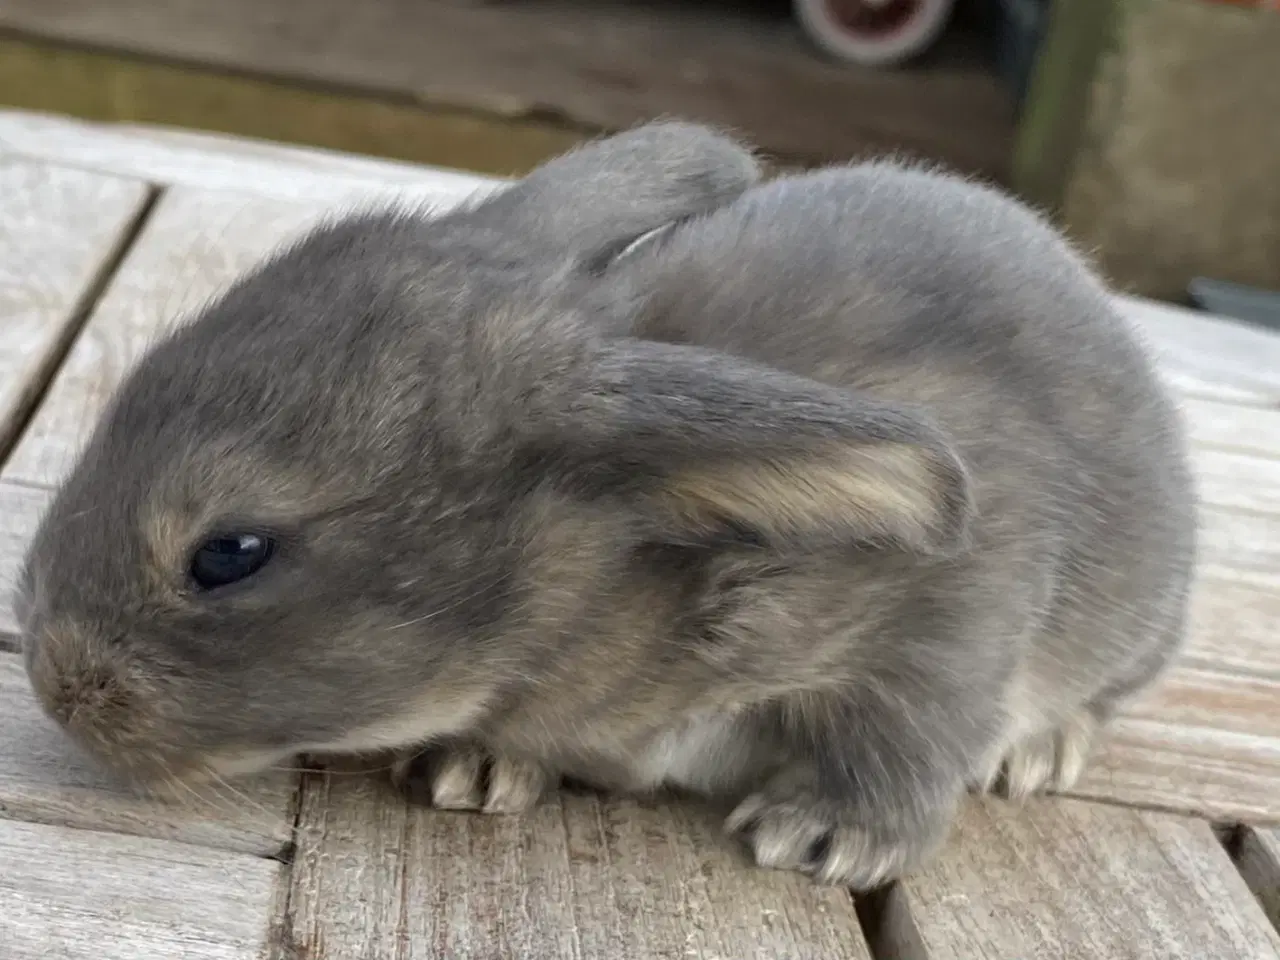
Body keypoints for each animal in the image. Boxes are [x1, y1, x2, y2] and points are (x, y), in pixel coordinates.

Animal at [15, 122, 1192, 896]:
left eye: (230, 552)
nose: (57, 681)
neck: (621, 557)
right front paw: (481, 765)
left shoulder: (949, 615)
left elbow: (908, 728)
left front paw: (831, 836)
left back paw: (1036, 753)